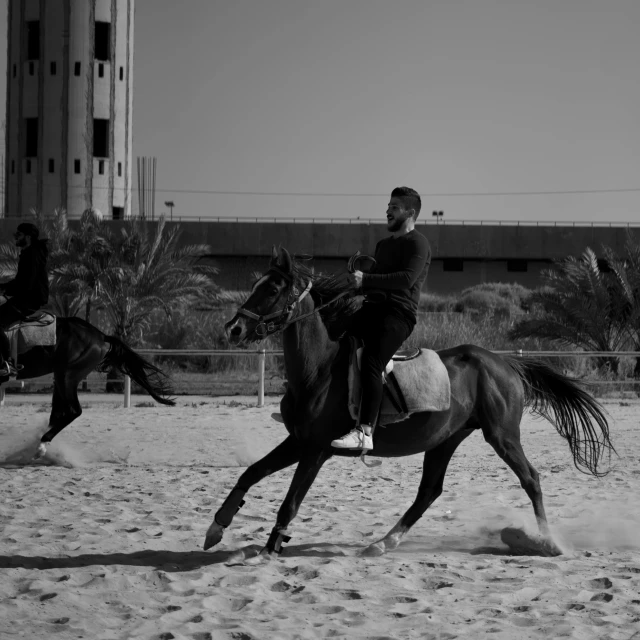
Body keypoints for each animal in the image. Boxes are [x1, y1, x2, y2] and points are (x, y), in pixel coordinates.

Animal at [1, 314, 174, 458]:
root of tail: (101, 336)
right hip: (61, 378)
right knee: (58, 413)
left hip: (66, 377)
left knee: (73, 411)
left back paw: (41, 445)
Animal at [206, 249, 616, 560]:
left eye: (273, 288)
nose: (234, 329)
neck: (319, 369)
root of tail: (504, 363)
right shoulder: (298, 441)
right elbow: (250, 473)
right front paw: (217, 527)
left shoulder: (316, 450)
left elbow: (290, 502)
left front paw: (269, 548)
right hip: (445, 440)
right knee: (428, 492)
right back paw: (383, 542)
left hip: (502, 435)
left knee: (530, 479)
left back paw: (548, 542)